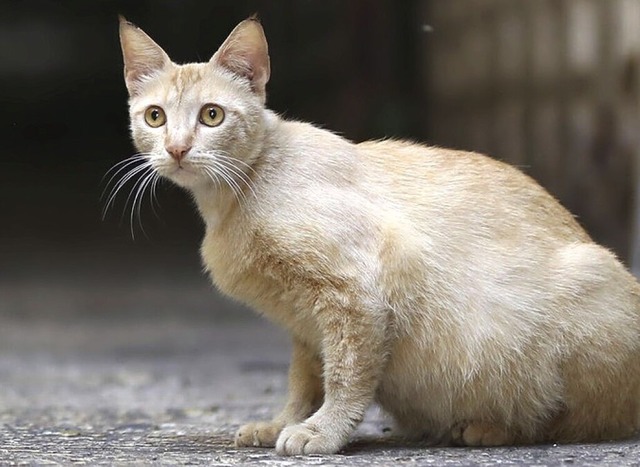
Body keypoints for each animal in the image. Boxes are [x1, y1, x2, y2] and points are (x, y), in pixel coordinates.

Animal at [117, 16, 640, 456]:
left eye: (212, 115)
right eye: (155, 117)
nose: (177, 149)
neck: (234, 196)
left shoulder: (359, 291)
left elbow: (346, 376)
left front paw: (322, 432)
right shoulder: (305, 325)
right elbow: (304, 382)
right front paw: (282, 423)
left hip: (586, 282)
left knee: (576, 422)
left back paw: (488, 428)